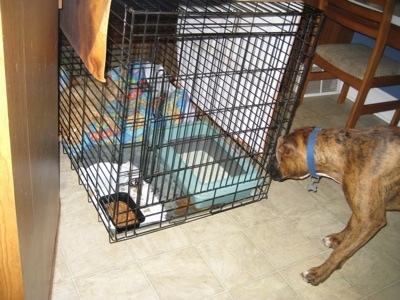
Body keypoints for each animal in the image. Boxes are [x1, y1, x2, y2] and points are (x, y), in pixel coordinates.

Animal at [270, 125, 398, 284]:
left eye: (277, 156)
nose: (268, 167)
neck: (347, 154)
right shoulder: (359, 205)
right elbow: (351, 224)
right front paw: (337, 239)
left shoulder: (371, 221)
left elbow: (341, 252)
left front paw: (318, 273)